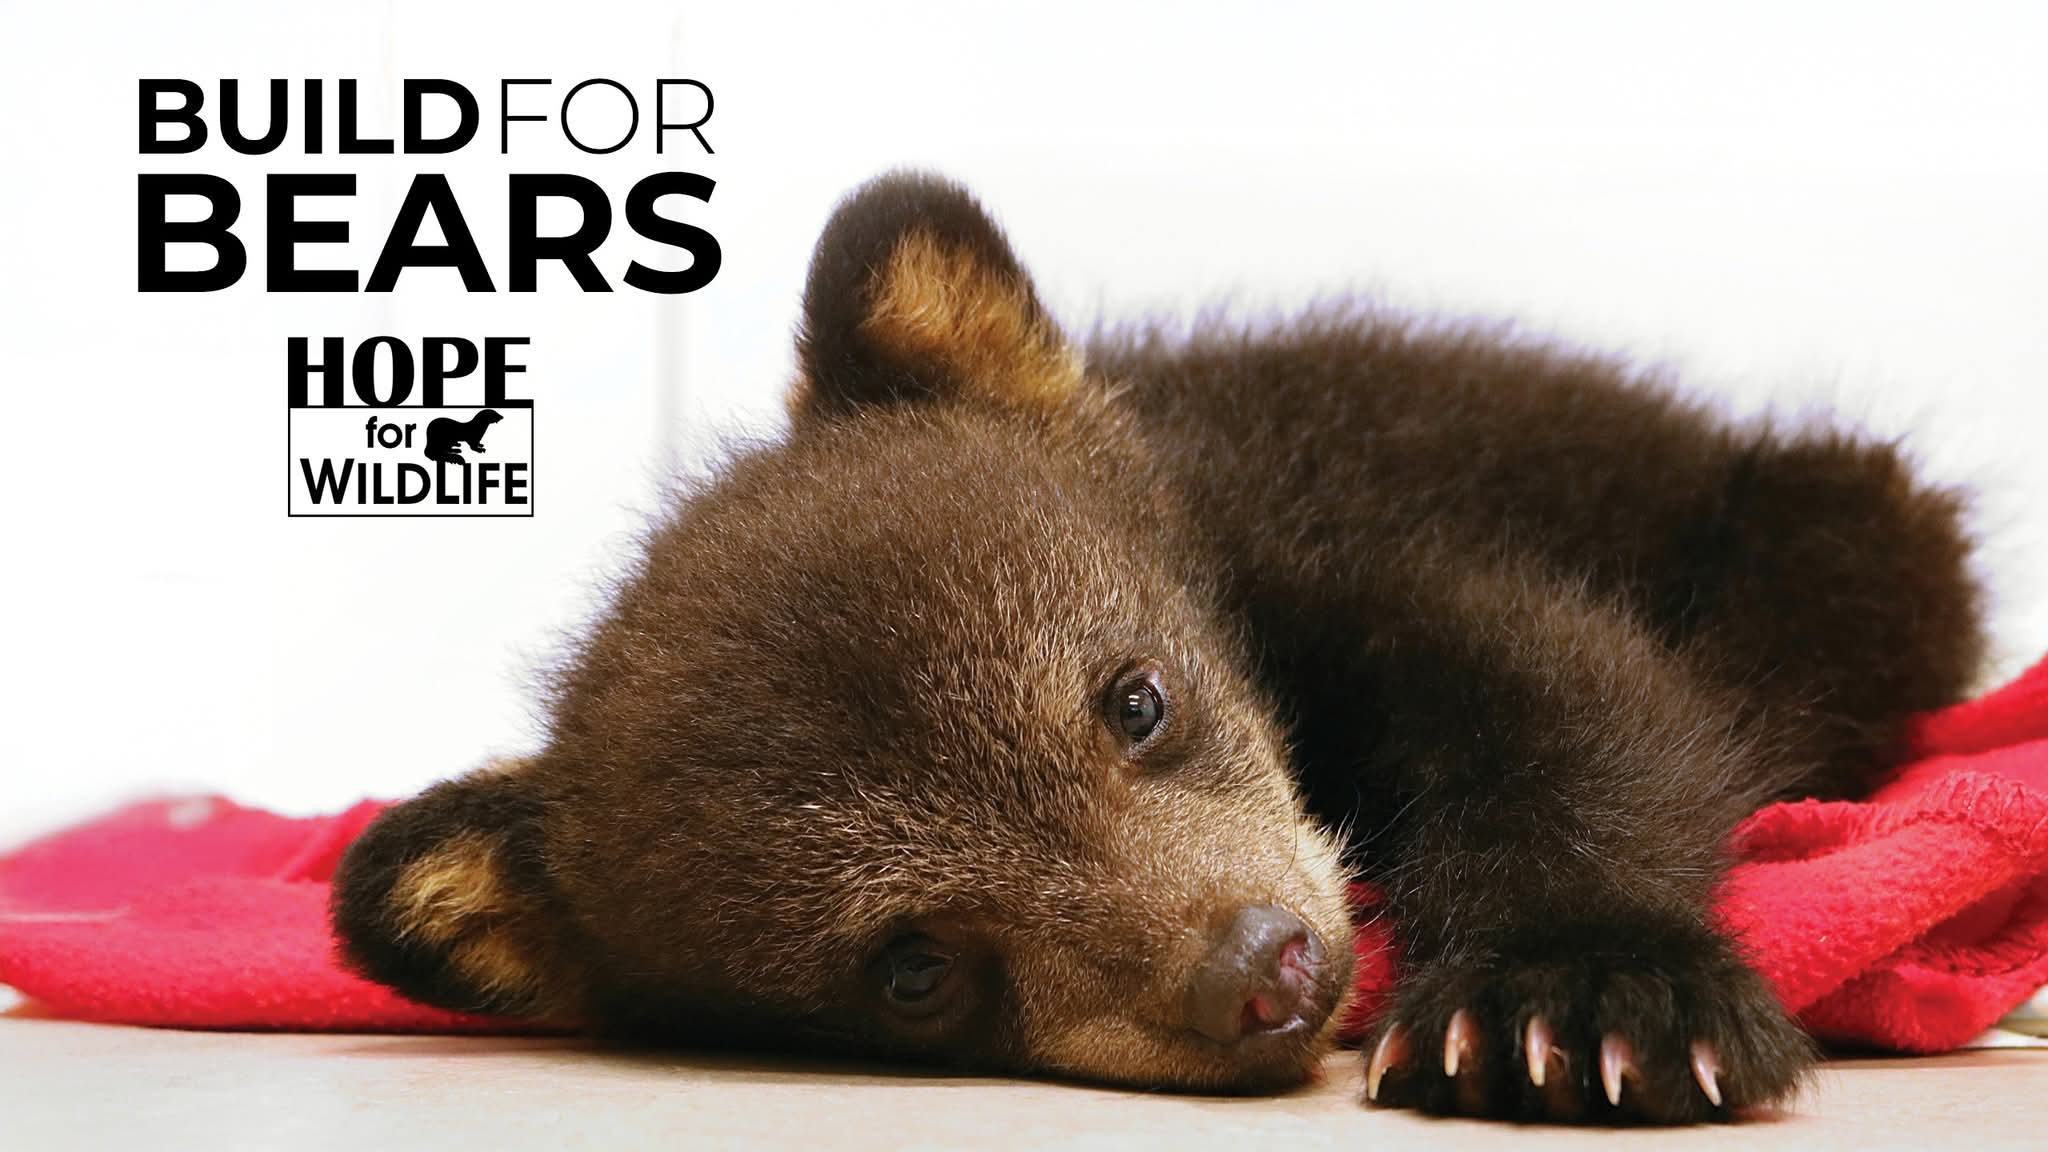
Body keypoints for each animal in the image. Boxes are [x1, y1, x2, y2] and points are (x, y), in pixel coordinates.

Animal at [330, 172, 1984, 1124]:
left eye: (1136, 699)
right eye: (914, 971)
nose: (1260, 967)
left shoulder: (1329, 545)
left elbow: (1571, 687)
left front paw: (1577, 1000)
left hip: (1855, 527)